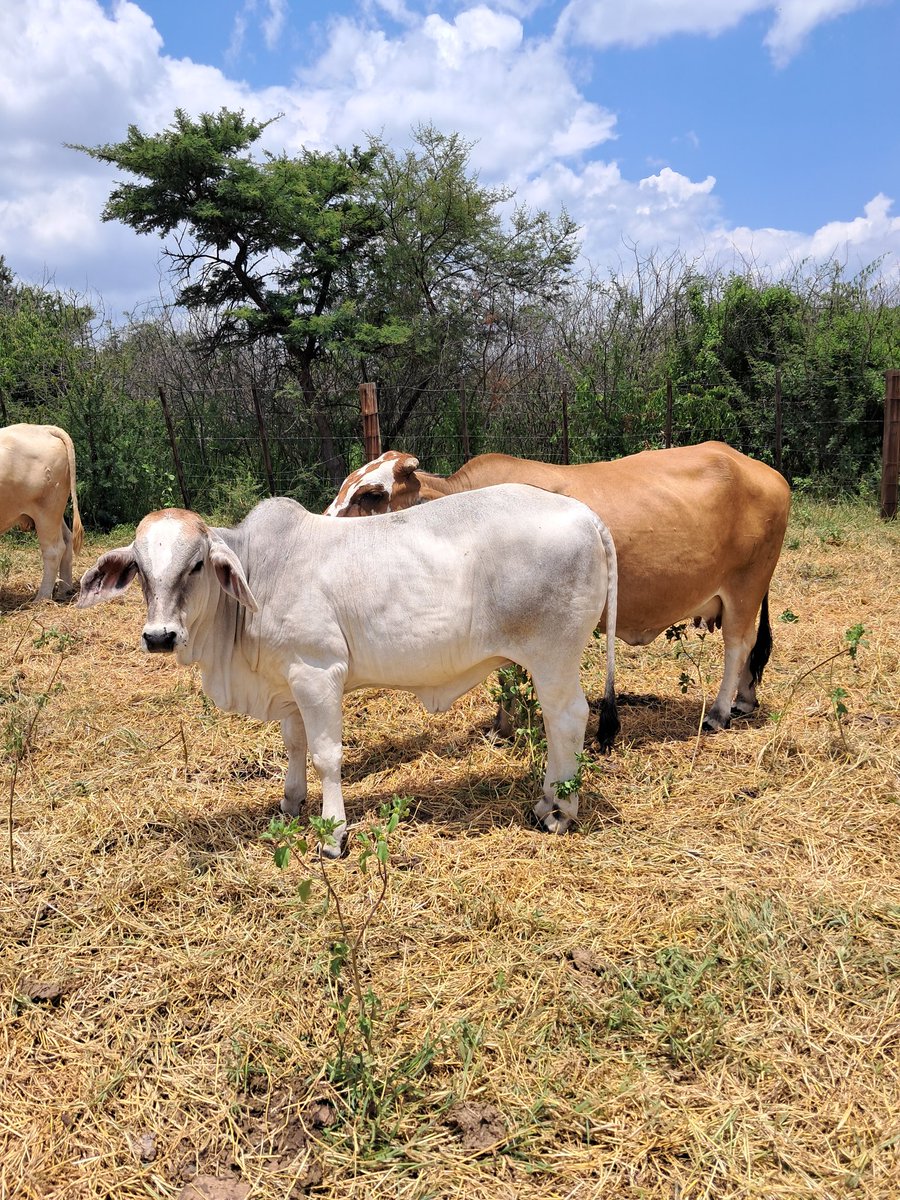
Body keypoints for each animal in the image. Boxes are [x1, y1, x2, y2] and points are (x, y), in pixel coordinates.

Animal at [0, 423, 84, 600]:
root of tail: (44, 428)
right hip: (56, 510)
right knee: (67, 539)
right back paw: (64, 590)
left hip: (46, 511)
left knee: (54, 550)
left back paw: (42, 598)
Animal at [77, 487, 619, 854]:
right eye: (141, 570)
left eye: (196, 565)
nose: (159, 637)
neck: (260, 571)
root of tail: (586, 514)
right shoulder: (289, 682)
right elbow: (294, 746)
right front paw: (290, 803)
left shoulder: (318, 673)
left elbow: (325, 756)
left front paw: (332, 834)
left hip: (553, 658)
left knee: (567, 719)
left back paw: (558, 810)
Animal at [325, 443, 791, 734]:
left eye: (371, 494)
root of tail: (763, 471)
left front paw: (506, 725)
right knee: (751, 644)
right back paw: (744, 701)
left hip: (745, 585)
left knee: (738, 644)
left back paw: (719, 712)